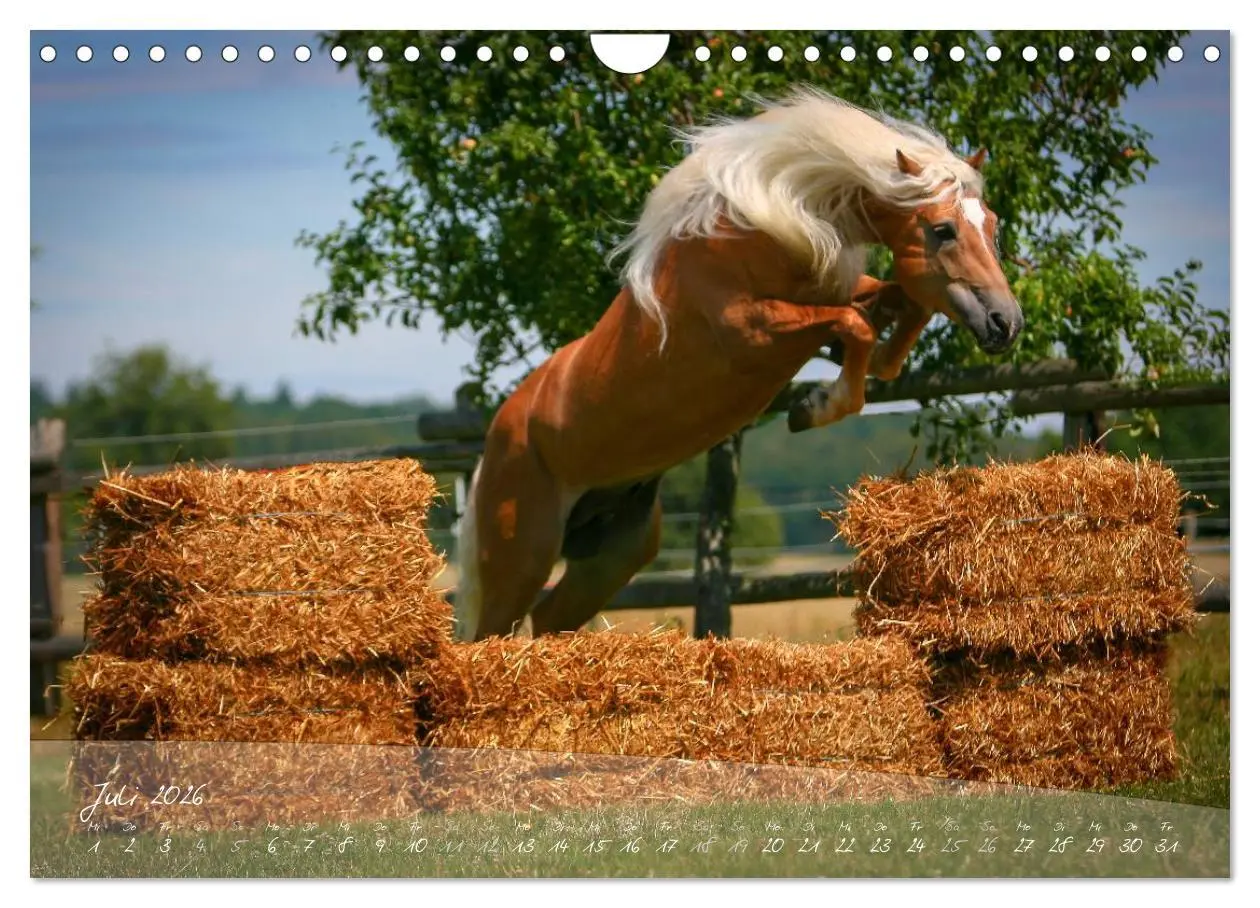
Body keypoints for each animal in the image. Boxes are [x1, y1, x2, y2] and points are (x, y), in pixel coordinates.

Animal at [454, 87, 1023, 642]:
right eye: (943, 230)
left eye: (991, 225)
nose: (1006, 323)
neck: (765, 226)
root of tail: (491, 447)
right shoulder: (754, 332)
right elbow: (855, 326)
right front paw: (816, 407)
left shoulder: (841, 294)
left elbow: (901, 310)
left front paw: (860, 371)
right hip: (521, 559)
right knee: (492, 633)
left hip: (614, 553)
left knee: (550, 618)